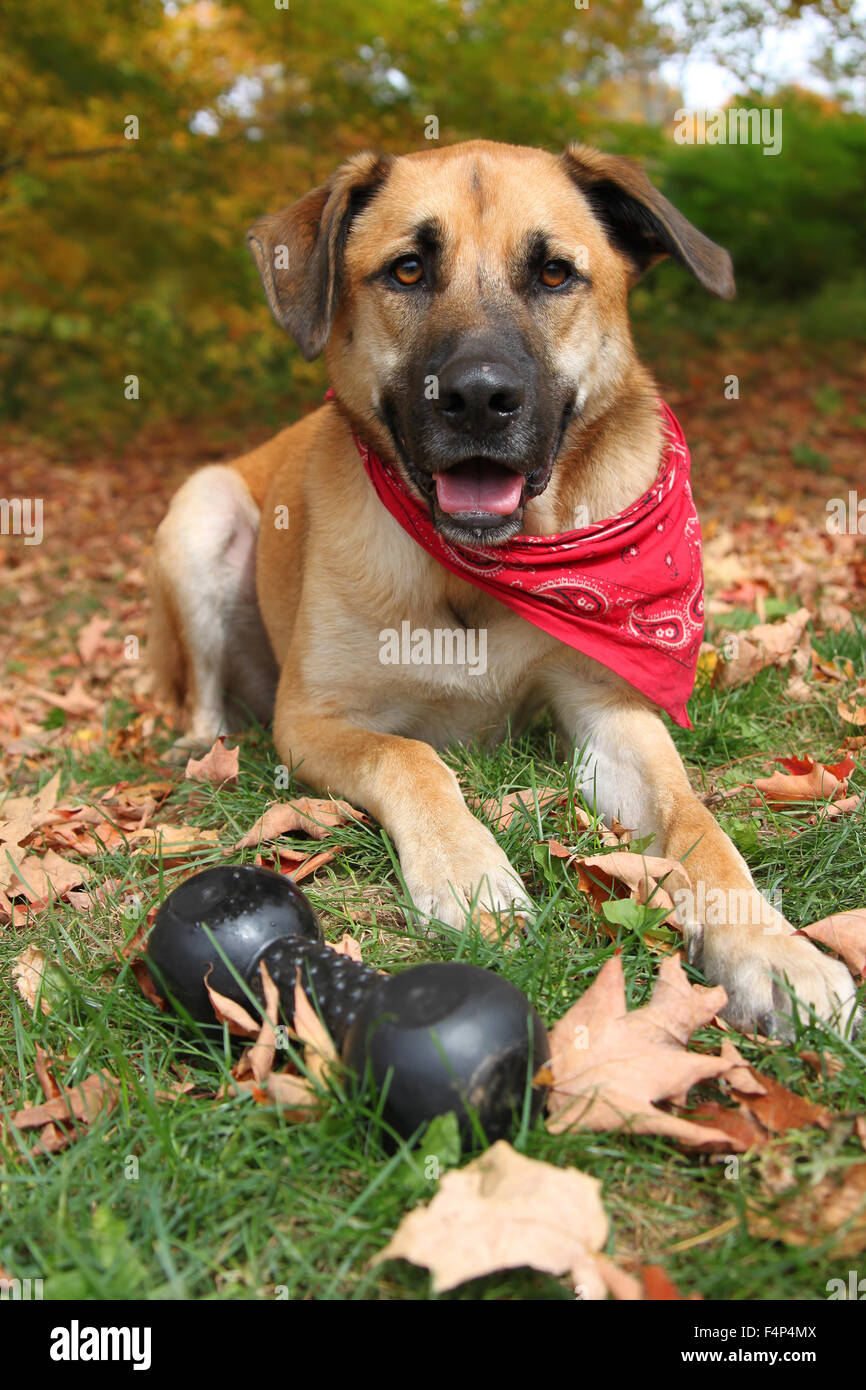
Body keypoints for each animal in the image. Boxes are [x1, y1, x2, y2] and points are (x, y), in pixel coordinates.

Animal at [145, 138, 856, 1045]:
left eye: (554, 273)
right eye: (408, 270)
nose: (479, 397)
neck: (480, 572)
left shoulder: (608, 710)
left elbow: (695, 818)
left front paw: (772, 947)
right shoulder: (311, 720)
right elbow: (410, 756)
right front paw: (466, 870)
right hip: (202, 510)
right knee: (203, 693)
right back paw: (201, 749)